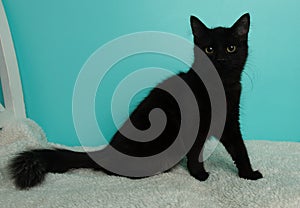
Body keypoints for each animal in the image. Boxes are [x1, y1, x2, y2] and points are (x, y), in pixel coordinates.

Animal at [8, 12, 262, 189]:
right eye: (209, 49)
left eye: (231, 48)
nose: (220, 59)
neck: (221, 87)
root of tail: (106, 152)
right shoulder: (194, 124)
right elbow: (195, 152)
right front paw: (199, 175)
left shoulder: (230, 121)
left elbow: (240, 149)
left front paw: (249, 174)